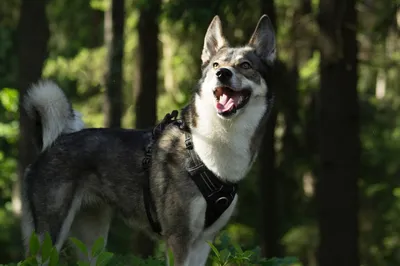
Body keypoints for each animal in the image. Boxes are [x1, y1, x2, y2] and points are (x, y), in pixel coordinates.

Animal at [19, 14, 276, 266]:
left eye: (245, 65)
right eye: (216, 65)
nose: (222, 74)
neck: (206, 149)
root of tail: (53, 144)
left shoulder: (203, 242)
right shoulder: (178, 239)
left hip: (92, 242)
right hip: (49, 238)